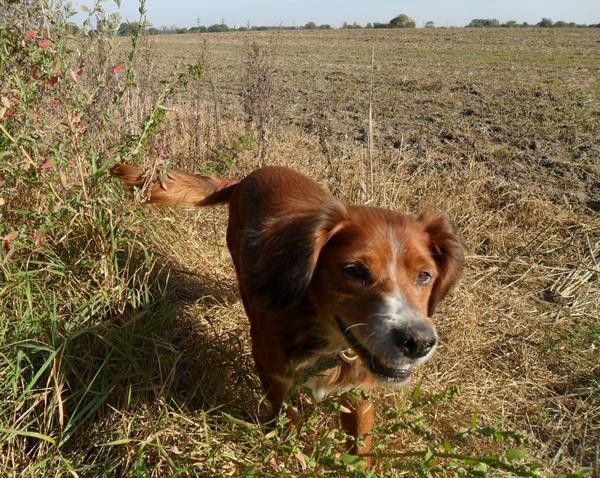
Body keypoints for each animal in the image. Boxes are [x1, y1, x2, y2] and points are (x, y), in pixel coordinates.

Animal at [110, 165, 462, 456]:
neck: (321, 337)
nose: (418, 342)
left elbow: (360, 446)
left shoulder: (359, 392)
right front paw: (282, 443)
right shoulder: (272, 372)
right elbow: (284, 414)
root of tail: (250, 175)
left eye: (425, 275)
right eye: (353, 271)